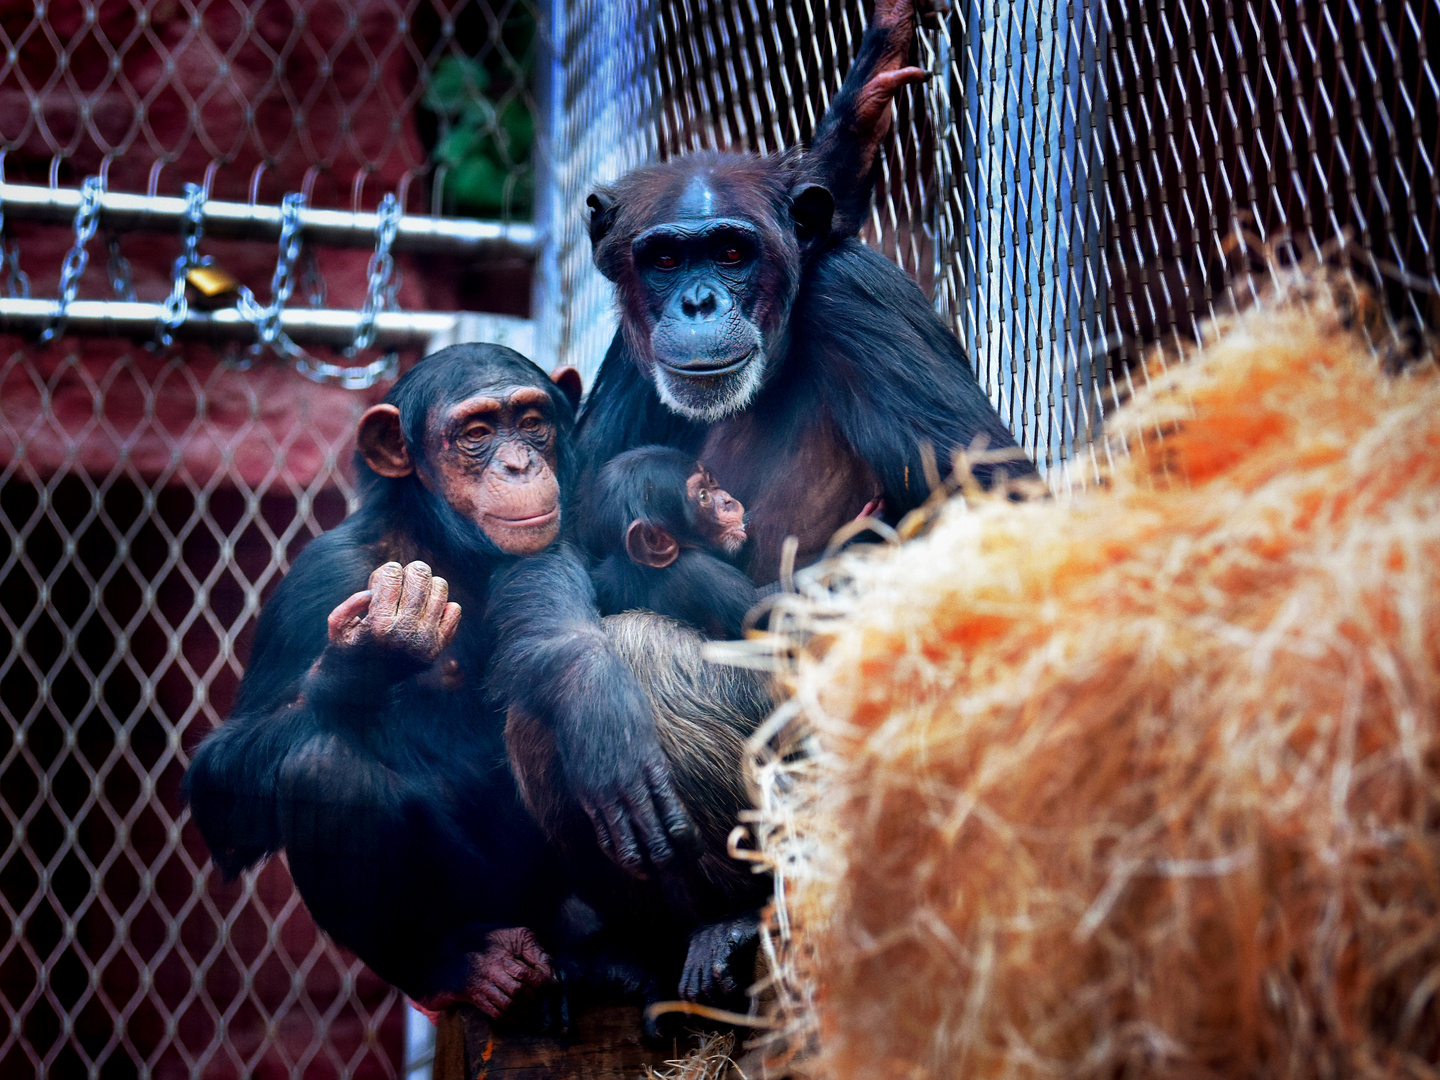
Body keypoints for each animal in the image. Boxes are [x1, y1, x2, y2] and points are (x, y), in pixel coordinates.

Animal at [182, 344, 699, 1025]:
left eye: (532, 421)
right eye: (476, 434)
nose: (518, 461)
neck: (451, 546)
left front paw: (589, 695)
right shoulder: (317, 581)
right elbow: (222, 791)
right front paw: (369, 657)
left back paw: (616, 960)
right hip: (494, 906)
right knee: (322, 771)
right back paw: (462, 963)